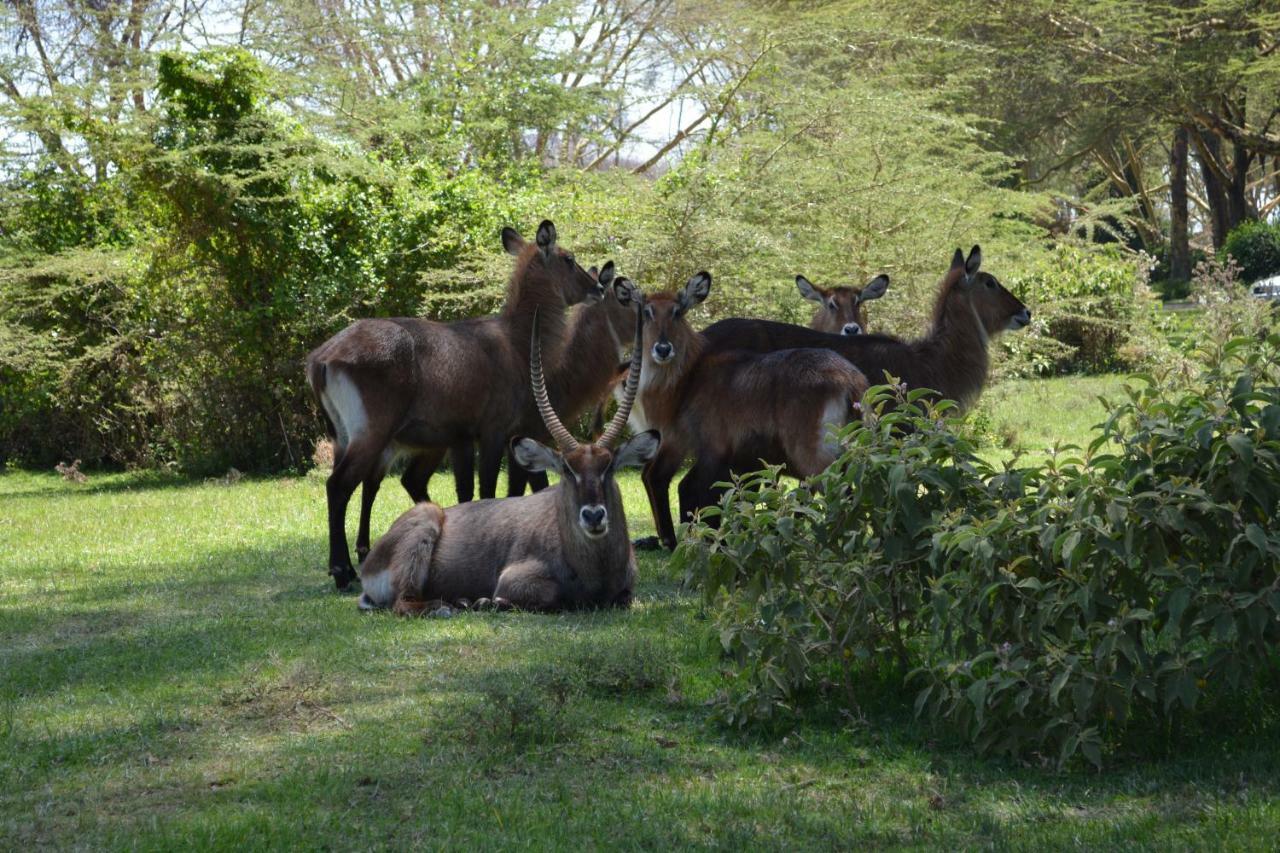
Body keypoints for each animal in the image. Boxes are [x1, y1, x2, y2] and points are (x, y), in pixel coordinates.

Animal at [304, 219, 599, 589]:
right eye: (569, 259)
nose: (599, 286)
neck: (516, 341)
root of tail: (322, 357)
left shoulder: (461, 438)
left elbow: (466, 492)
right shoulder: (493, 430)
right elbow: (488, 488)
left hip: (344, 437)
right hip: (371, 433)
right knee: (339, 486)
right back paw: (343, 572)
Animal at [360, 306, 660, 612]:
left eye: (609, 467)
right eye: (567, 469)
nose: (594, 515)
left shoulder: (626, 592)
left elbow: (623, 597)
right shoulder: (512, 579)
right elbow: (554, 596)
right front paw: (486, 600)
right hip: (425, 520)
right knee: (404, 603)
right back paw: (451, 605)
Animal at [614, 274, 875, 550]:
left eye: (677, 311)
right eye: (647, 312)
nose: (662, 349)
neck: (690, 377)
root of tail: (851, 380)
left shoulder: (712, 450)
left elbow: (699, 495)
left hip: (814, 456)